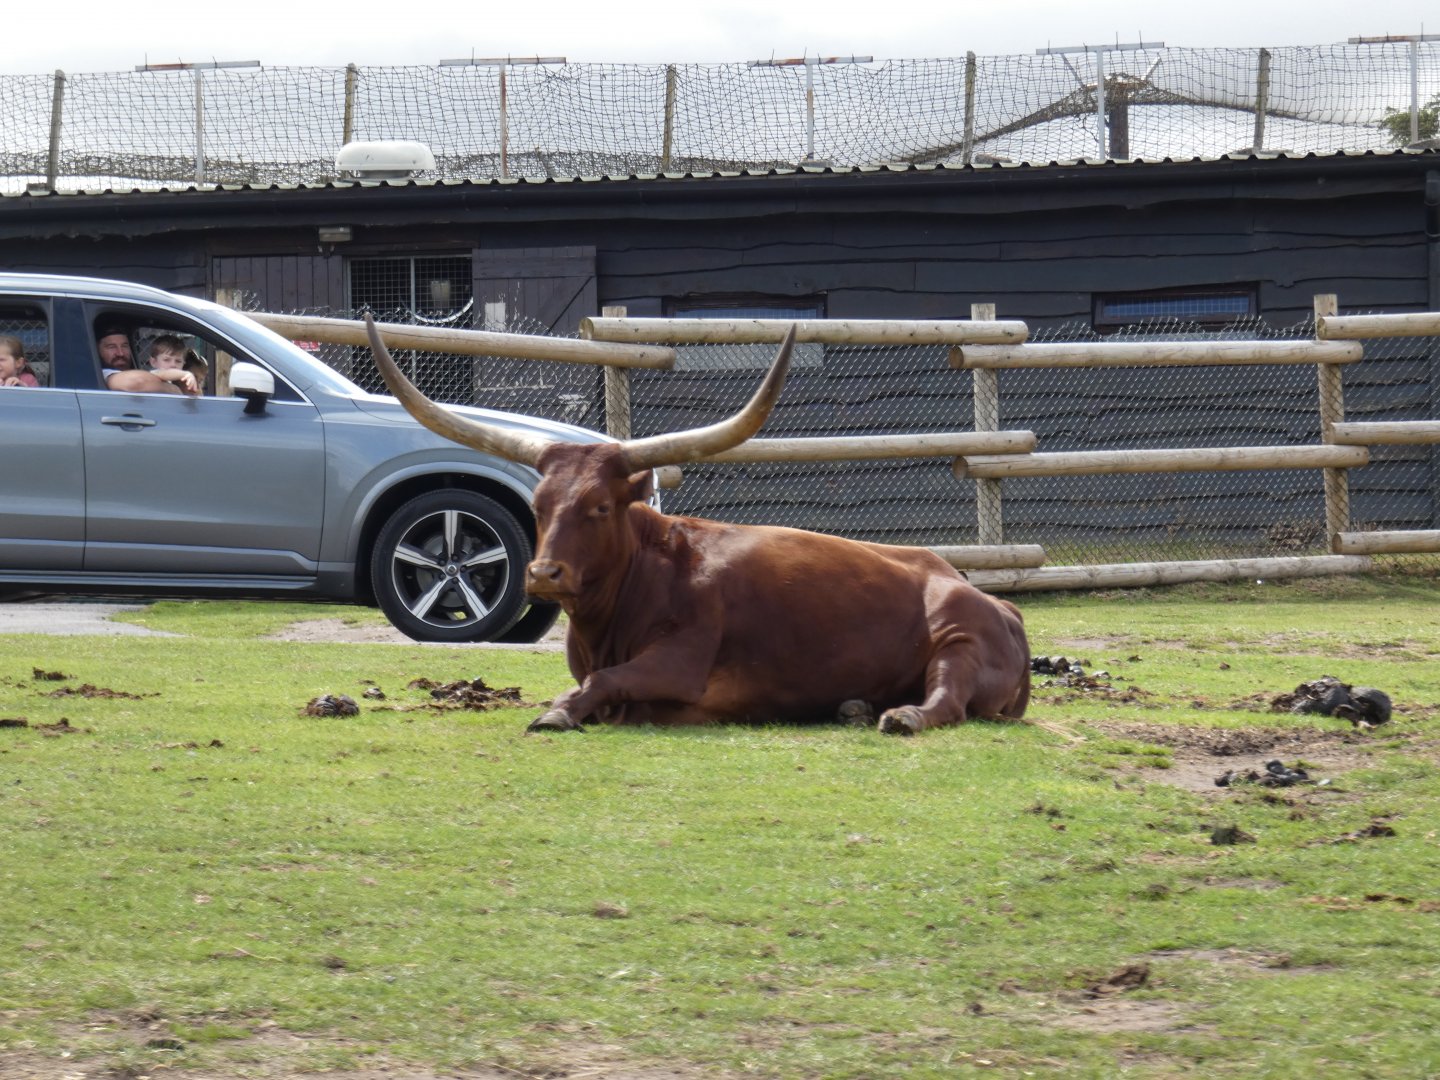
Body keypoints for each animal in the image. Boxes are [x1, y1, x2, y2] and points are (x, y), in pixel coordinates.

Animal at [366, 317, 1030, 735]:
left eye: (600, 506)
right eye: (539, 504)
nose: (544, 573)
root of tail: (992, 600)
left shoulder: (680, 660)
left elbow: (606, 682)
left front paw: (560, 712)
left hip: (960, 642)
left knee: (946, 700)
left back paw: (903, 716)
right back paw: (856, 708)